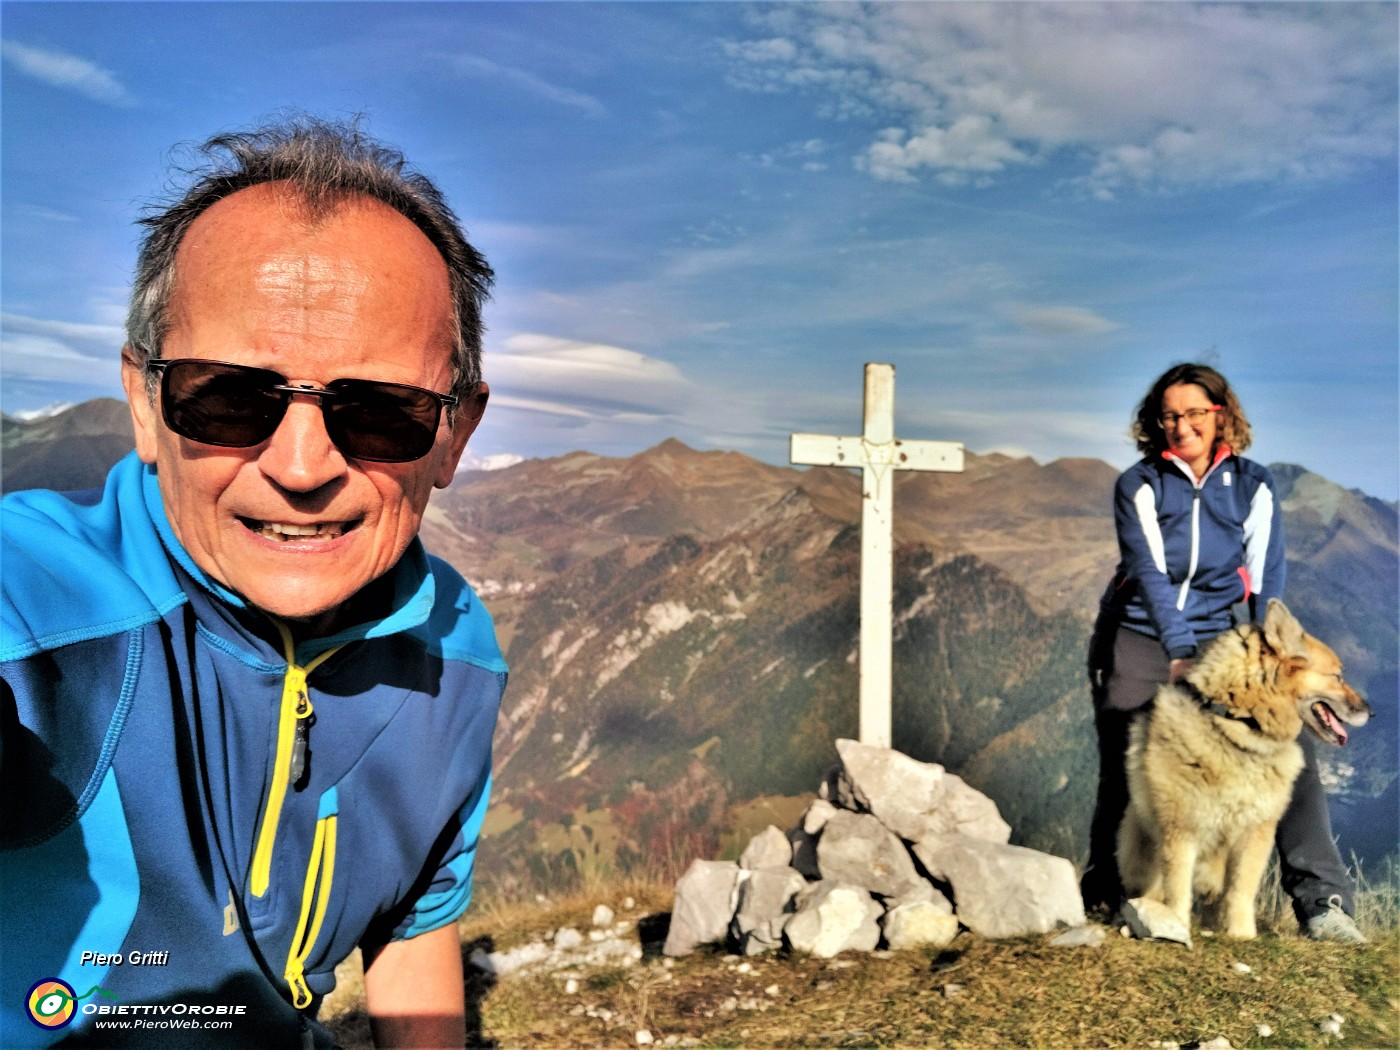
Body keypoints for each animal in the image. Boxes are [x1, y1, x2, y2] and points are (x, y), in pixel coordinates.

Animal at [1120, 596, 1372, 940]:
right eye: (1337, 676)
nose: (1371, 712)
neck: (1239, 726)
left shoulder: (1255, 833)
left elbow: (1240, 890)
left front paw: (1241, 934)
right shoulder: (1181, 830)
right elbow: (1178, 889)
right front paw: (1178, 925)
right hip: (1143, 848)